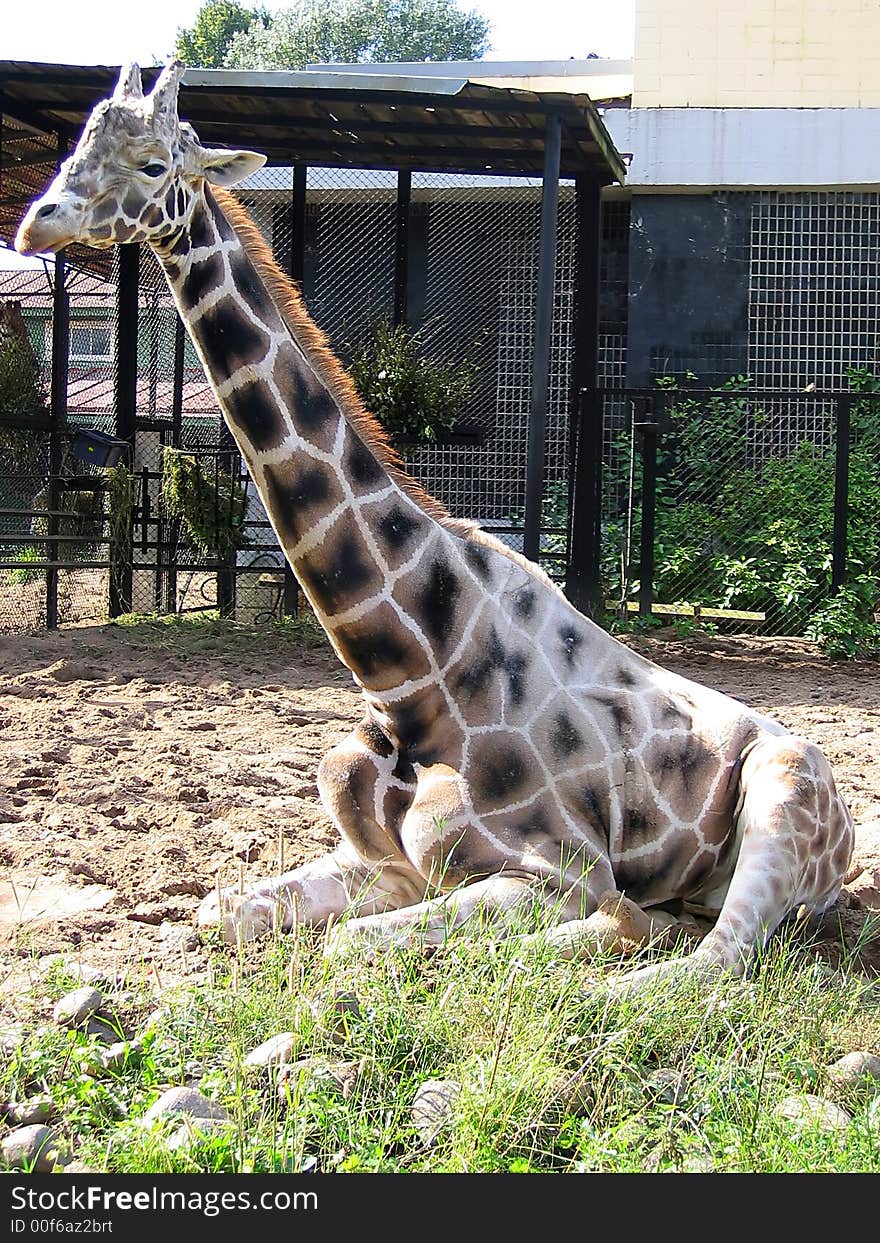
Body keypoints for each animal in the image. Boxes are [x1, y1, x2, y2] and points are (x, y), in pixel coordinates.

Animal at [13, 60, 850, 999]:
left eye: (155, 164)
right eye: (80, 141)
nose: (39, 221)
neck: (407, 675)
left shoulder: (558, 870)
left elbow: (359, 945)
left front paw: (602, 932)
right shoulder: (381, 863)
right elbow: (218, 909)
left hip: (783, 789)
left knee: (715, 957)